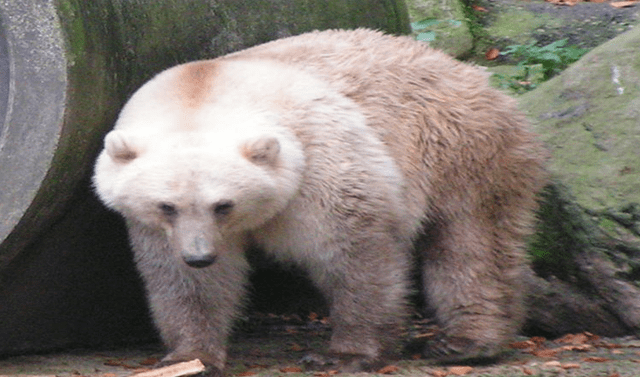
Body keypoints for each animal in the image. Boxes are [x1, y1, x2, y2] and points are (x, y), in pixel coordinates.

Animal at [92, 28, 548, 374]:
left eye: (224, 205)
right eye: (166, 206)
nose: (200, 255)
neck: (205, 91)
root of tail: (470, 72)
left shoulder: (318, 162)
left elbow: (354, 254)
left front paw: (346, 354)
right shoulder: (153, 225)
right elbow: (187, 283)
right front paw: (190, 357)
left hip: (458, 146)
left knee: (470, 242)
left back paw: (468, 341)